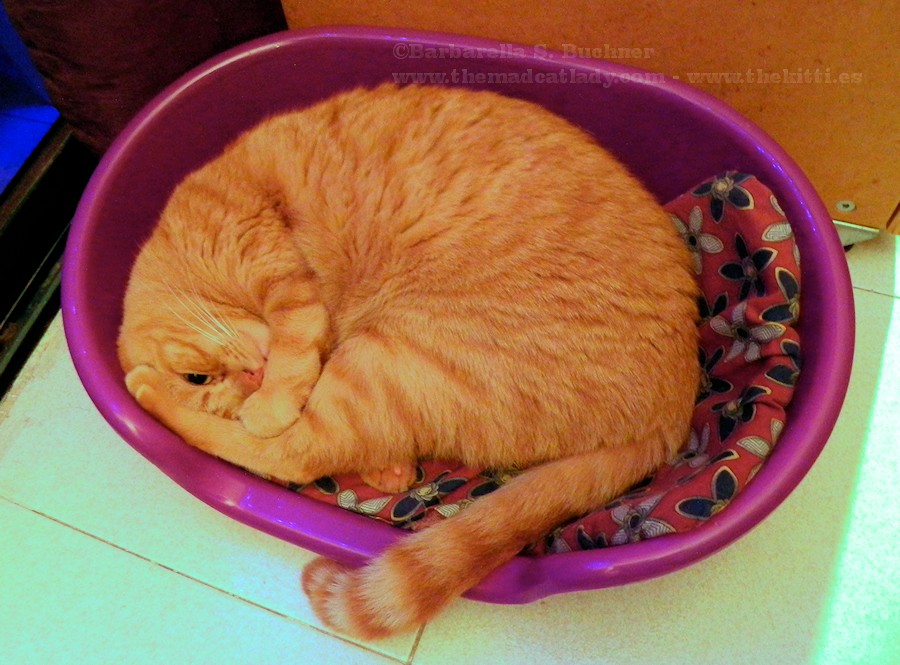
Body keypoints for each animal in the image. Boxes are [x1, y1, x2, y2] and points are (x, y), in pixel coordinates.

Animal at [119, 83, 700, 639]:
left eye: (197, 376)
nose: (253, 380)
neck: (187, 250)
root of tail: (673, 414)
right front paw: (389, 470)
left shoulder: (278, 273)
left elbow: (293, 343)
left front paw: (270, 398)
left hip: (389, 356)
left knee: (291, 453)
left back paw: (146, 392)